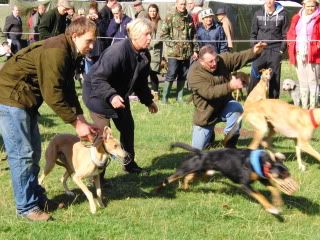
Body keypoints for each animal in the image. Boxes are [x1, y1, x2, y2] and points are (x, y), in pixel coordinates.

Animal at [156, 142, 298, 216]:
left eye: (288, 173)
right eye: (283, 175)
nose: (295, 187)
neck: (261, 162)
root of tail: (202, 153)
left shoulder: (263, 178)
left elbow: (274, 189)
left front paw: (278, 202)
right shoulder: (245, 184)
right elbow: (260, 195)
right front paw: (271, 209)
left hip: (205, 172)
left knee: (188, 177)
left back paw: (185, 187)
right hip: (187, 169)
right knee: (168, 178)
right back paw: (157, 190)